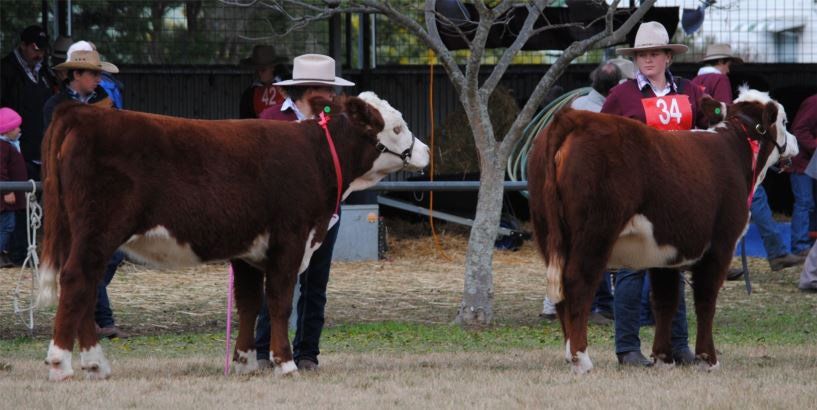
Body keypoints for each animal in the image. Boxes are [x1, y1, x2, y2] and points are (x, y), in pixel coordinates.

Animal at [36, 92, 429, 381]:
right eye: (396, 127)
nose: (425, 152)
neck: (317, 157)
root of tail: (82, 112)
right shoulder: (290, 239)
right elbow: (280, 302)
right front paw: (285, 363)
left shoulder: (249, 251)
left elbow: (249, 303)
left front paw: (244, 362)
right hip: (98, 230)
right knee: (77, 280)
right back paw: (61, 363)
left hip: (78, 232)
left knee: (86, 286)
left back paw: (95, 364)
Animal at [527, 88, 799, 374]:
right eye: (784, 121)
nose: (795, 143)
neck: (736, 149)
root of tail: (573, 118)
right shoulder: (720, 245)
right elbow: (705, 300)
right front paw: (708, 358)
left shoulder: (666, 253)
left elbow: (665, 301)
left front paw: (663, 357)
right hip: (594, 233)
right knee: (578, 282)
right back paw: (581, 358)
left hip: (549, 233)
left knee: (559, 290)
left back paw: (570, 355)